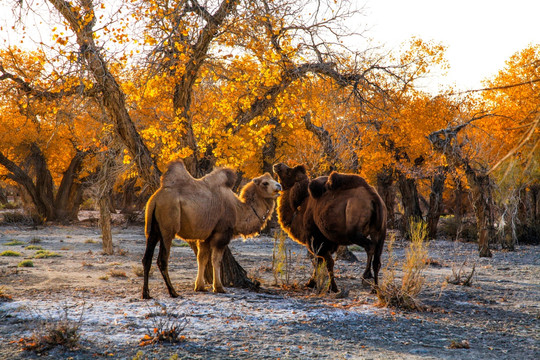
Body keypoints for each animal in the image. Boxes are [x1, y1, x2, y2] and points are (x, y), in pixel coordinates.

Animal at [141, 160, 280, 298]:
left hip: (152, 229)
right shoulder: (221, 233)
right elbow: (216, 260)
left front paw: (199, 286)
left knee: (147, 258)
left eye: (273, 178)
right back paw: (173, 292)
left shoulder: (206, 236)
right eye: (265, 183)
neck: (238, 211)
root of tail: (156, 199)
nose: (279, 186)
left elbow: (202, 258)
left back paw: (146, 294)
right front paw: (219, 287)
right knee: (162, 259)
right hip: (168, 227)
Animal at [272, 163, 386, 292]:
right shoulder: (329, 241)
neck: (301, 206)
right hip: (380, 231)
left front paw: (331, 287)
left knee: (370, 246)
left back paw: (366, 277)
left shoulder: (316, 238)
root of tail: (374, 199)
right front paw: (312, 283)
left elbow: (324, 261)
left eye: (288, 172)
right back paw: (375, 288)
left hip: (354, 232)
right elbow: (321, 262)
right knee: (377, 260)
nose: (277, 165)